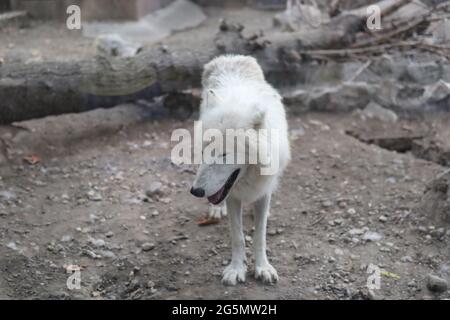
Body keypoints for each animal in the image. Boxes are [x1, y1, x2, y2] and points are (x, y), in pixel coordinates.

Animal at [189, 54, 288, 284]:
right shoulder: (232, 195)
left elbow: (259, 236)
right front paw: (236, 269)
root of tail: (230, 57)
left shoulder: (263, 192)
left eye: (224, 154)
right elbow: (238, 237)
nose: (196, 191)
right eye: (204, 150)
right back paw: (216, 209)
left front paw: (263, 267)